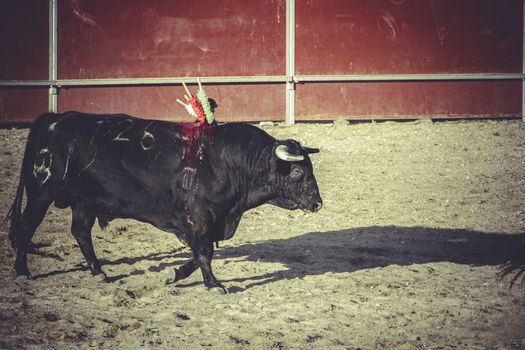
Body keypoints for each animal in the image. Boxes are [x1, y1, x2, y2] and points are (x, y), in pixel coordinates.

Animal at [6, 112, 322, 292]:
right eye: (297, 171)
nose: (318, 203)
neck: (228, 162)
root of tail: (52, 119)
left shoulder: (208, 222)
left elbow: (199, 254)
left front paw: (176, 274)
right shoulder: (199, 218)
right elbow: (205, 253)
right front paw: (214, 284)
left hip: (84, 201)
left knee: (81, 232)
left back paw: (99, 272)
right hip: (41, 193)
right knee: (27, 227)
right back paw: (22, 271)